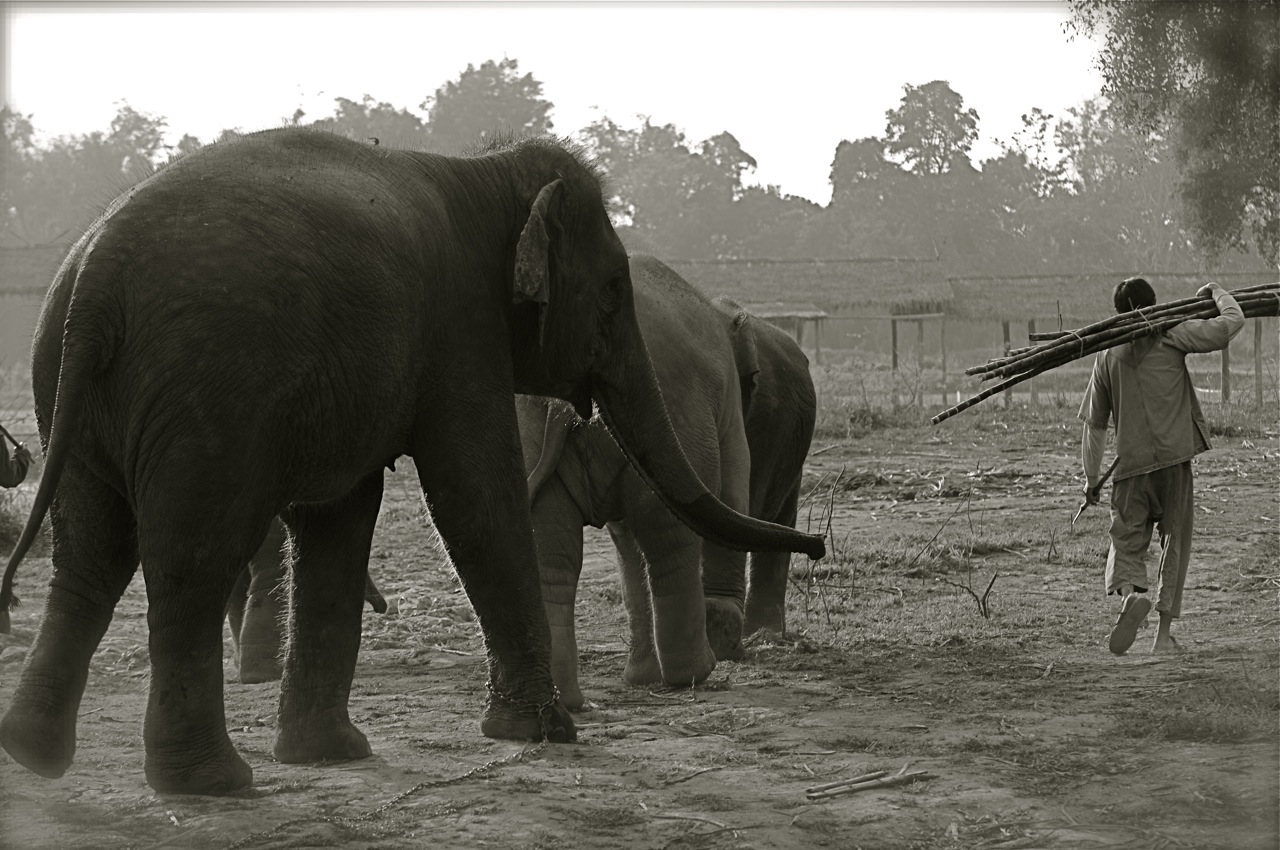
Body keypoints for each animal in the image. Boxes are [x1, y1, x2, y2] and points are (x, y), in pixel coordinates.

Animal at [514, 253, 814, 711]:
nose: (818, 546)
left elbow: (625, 539)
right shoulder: (727, 410)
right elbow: (731, 492)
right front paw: (724, 639)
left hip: (537, 435)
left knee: (553, 552)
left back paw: (572, 698)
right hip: (675, 414)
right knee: (668, 535)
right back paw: (696, 670)